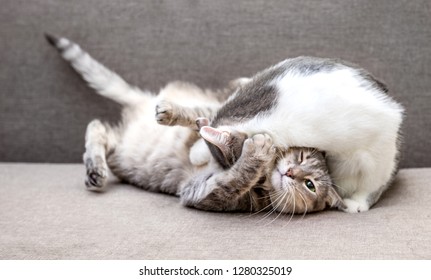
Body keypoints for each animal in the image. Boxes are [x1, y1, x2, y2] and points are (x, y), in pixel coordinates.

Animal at [45, 34, 404, 214]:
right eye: (300, 160)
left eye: (310, 184)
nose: (291, 173)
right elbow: (205, 128)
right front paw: (195, 142)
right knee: (99, 127)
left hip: (372, 165)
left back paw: (356, 204)